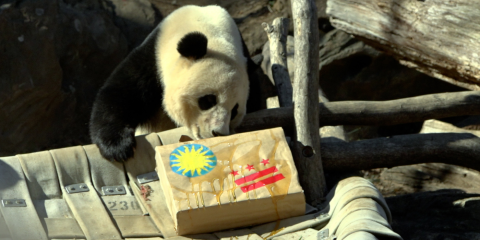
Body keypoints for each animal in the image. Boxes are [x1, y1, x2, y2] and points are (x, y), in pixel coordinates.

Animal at [90, 5, 262, 161]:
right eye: (208, 100)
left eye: (234, 110)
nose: (218, 132)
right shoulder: (153, 57)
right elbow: (122, 94)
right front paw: (118, 147)